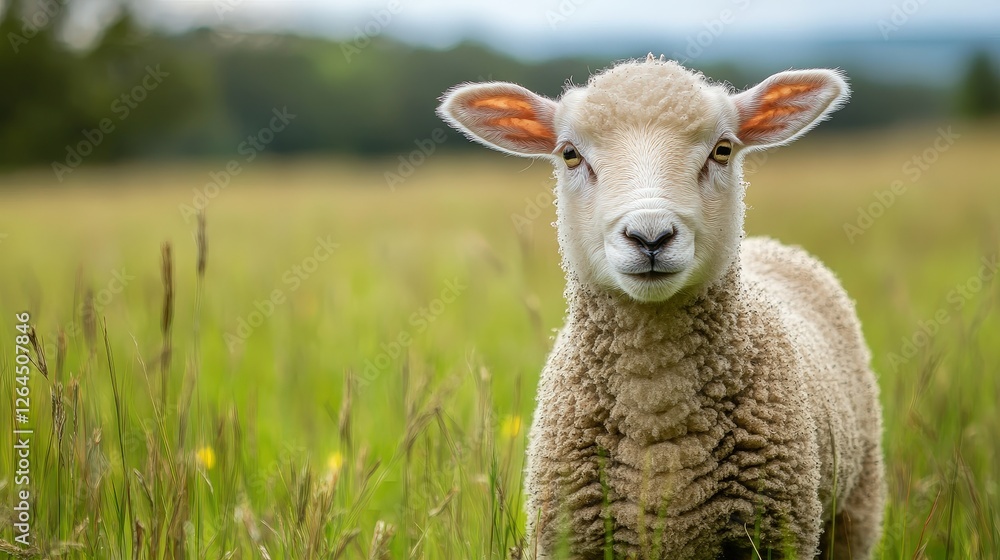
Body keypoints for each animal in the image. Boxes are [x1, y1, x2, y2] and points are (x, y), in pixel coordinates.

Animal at [437, 55, 885, 559]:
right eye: (570, 154)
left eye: (723, 150)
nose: (650, 236)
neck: (656, 402)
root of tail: (772, 245)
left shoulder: (780, 536)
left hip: (856, 507)